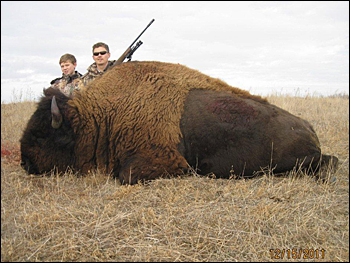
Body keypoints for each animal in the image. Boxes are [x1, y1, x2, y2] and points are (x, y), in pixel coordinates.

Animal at [20, 62, 338, 186]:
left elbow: (125, 175)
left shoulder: (162, 158)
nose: (24, 163)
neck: (102, 115)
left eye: (42, 136)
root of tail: (309, 128)